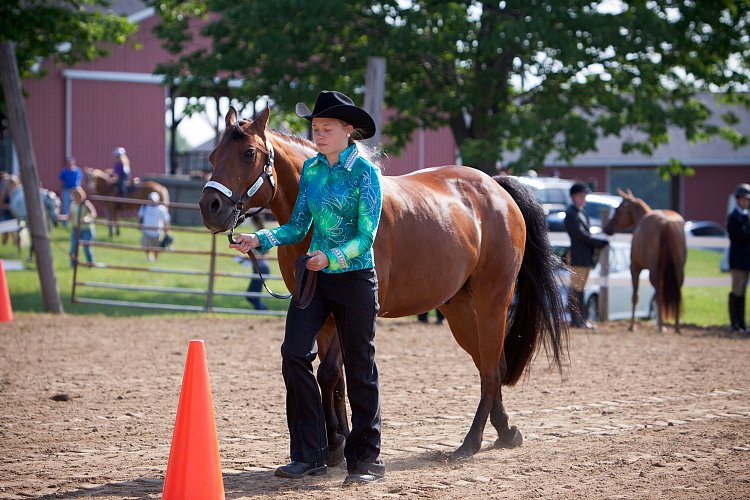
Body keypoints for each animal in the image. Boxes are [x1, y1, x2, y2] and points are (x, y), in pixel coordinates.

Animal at [200, 106, 568, 464]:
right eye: (213, 156)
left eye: (249, 153)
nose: (209, 207)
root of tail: (495, 187)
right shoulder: (322, 314)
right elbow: (337, 379)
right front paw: (338, 441)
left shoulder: (352, 310)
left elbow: (329, 373)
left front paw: (337, 444)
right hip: (459, 309)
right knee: (490, 364)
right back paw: (506, 432)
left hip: (493, 300)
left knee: (491, 370)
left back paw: (470, 443)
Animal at [604, 189, 688, 334]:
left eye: (619, 209)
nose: (607, 229)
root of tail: (666, 222)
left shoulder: (635, 268)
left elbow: (635, 296)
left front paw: (632, 325)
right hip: (678, 269)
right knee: (676, 293)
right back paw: (676, 327)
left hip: (654, 271)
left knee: (659, 294)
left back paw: (660, 326)